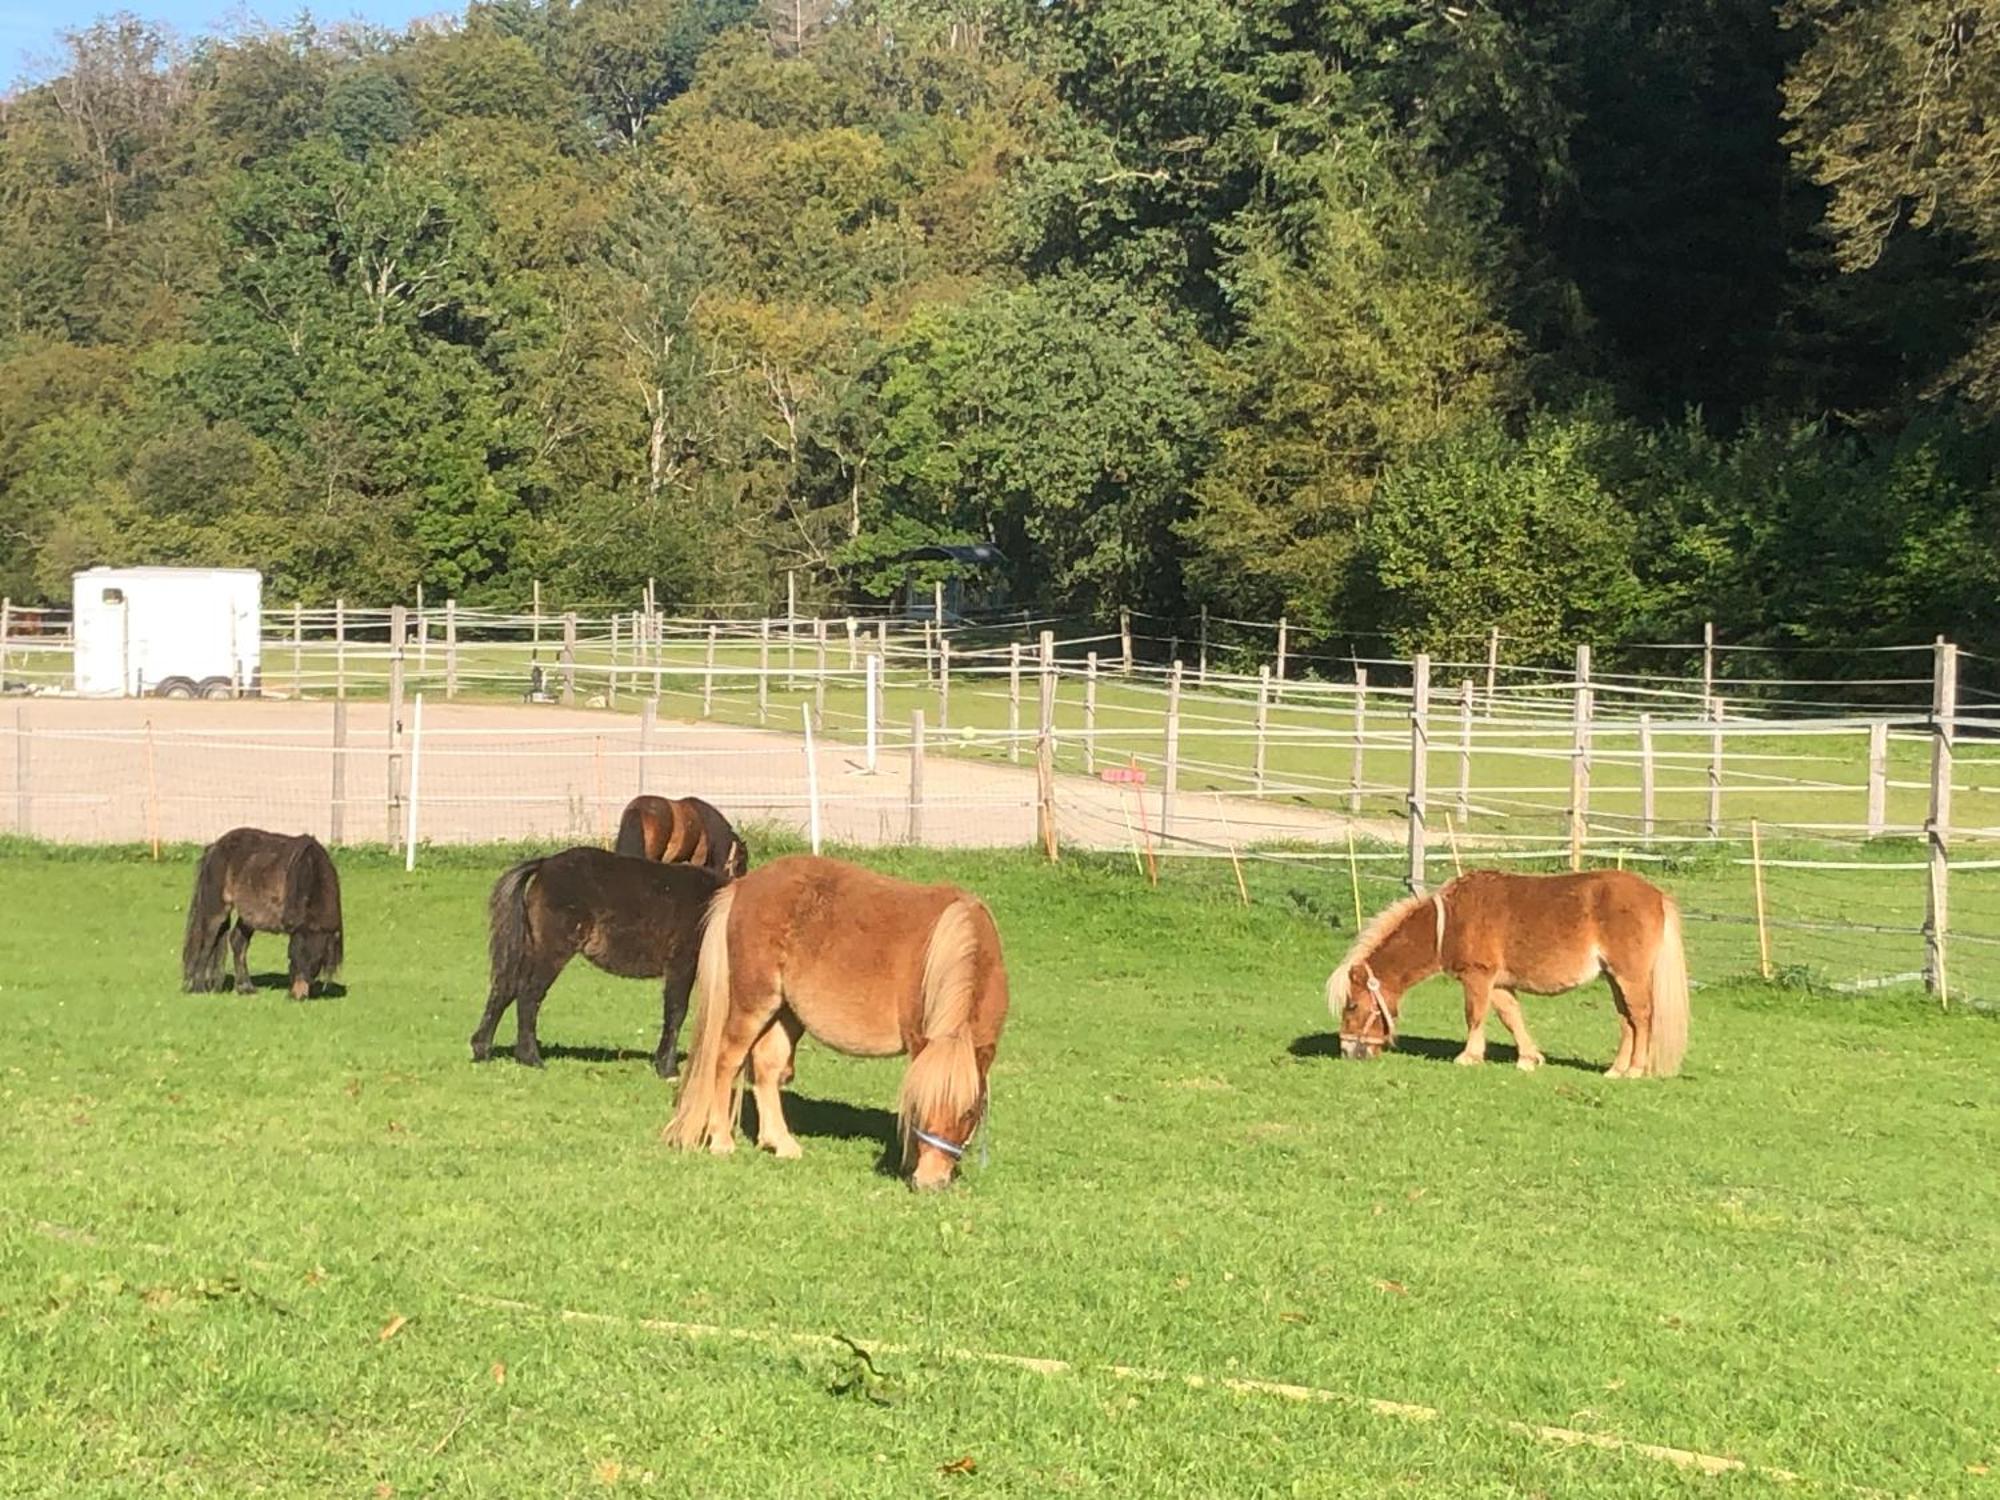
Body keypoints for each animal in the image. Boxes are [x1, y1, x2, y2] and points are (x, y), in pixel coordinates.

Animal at [184, 828, 344, 1004]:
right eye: (292, 958)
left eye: (316, 963)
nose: (297, 996)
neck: (311, 870)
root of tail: (214, 847)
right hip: (217, 910)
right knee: (207, 942)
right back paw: (199, 987)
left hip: (249, 916)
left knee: (237, 942)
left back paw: (245, 988)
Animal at [472, 848, 724, 1080]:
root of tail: (545, 864)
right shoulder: (681, 964)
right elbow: (676, 1012)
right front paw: (667, 1069)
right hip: (552, 948)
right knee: (528, 994)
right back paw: (530, 1058)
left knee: (505, 987)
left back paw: (482, 1050)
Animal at [664, 864, 1008, 1192]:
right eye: (919, 1107)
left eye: (969, 1113)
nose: (929, 1182)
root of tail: (742, 887)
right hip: (754, 1002)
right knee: (726, 1060)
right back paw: (722, 1141)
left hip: (787, 1013)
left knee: (766, 1065)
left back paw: (781, 1143)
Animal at [1328, 868, 1688, 1080]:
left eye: (1352, 1006)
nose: (1346, 1051)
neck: (1449, 922)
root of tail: (1657, 896)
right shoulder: (1499, 983)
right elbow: (1511, 1017)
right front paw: (1529, 1058)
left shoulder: (1477, 977)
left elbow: (1475, 1015)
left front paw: (1469, 1056)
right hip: (1614, 978)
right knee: (1627, 1020)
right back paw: (1615, 1069)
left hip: (1630, 976)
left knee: (1641, 1017)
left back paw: (1635, 1069)